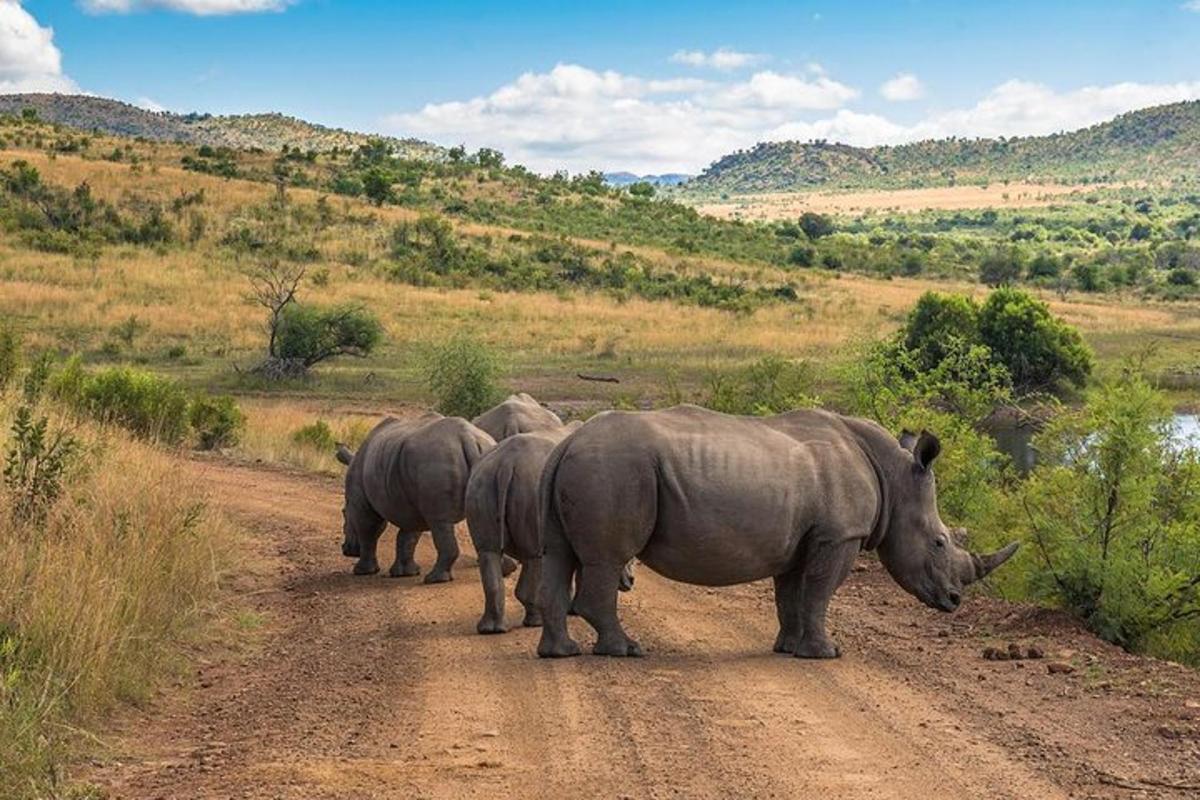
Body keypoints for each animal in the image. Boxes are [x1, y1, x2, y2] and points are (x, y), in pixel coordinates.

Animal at [336, 417, 494, 585]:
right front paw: (405, 573)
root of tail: (469, 439)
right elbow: (408, 535)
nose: (346, 550)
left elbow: (368, 530)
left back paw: (433, 579)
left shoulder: (361, 501)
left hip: (436, 460)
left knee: (439, 522)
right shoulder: (411, 499)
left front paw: (362, 571)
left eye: (344, 513)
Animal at [540, 402, 1017, 662]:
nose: (954, 601)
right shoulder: (839, 535)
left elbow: (790, 594)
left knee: (559, 557)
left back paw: (560, 653)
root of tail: (568, 442)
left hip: (591, 467)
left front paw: (788, 648)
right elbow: (820, 592)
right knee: (607, 559)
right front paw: (826, 654)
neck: (895, 477)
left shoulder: (801, 540)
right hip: (616, 469)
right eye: (939, 542)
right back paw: (627, 650)